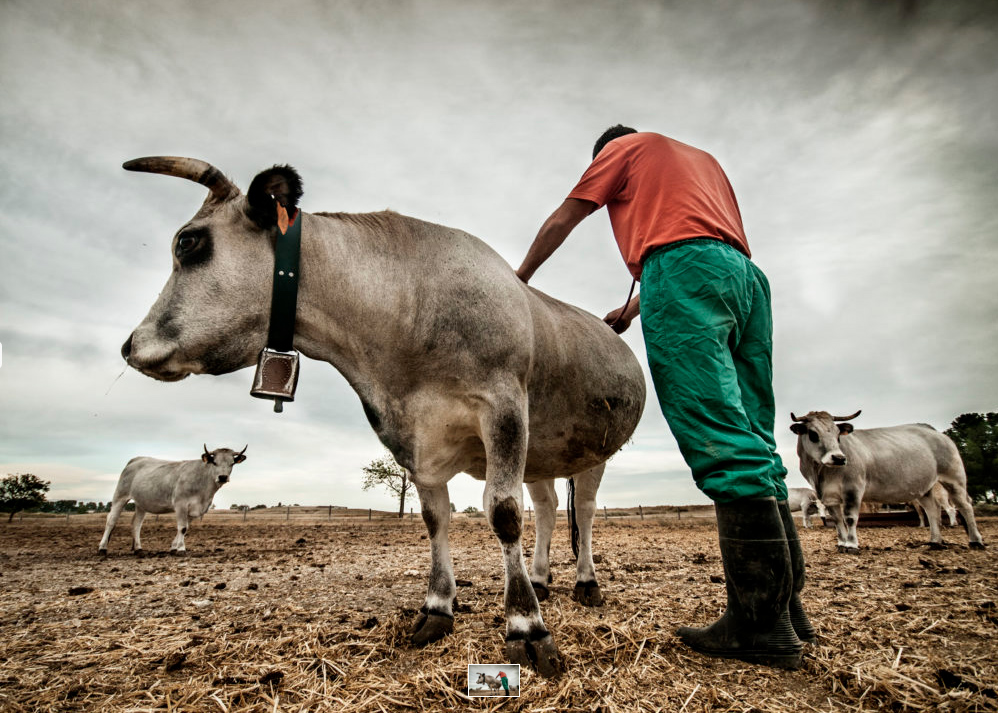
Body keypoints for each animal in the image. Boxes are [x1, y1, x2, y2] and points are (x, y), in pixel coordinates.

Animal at [98, 444, 247, 556]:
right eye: (215, 462)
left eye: (232, 463)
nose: (222, 477)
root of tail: (136, 459)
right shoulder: (181, 504)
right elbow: (182, 527)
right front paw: (181, 549)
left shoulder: (194, 509)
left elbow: (185, 528)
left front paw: (174, 547)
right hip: (120, 496)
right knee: (111, 520)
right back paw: (102, 548)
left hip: (141, 503)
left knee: (136, 524)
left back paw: (138, 549)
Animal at [117, 156, 648, 672]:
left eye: (188, 242)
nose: (128, 346)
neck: (409, 311)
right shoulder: (414, 437)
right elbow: (436, 519)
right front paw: (438, 607)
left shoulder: (504, 409)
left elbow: (503, 512)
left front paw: (526, 626)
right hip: (543, 452)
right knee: (549, 507)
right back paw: (539, 579)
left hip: (590, 451)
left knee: (583, 509)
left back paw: (585, 583)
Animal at [792, 408, 988, 552]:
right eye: (813, 434)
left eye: (838, 434)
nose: (839, 458)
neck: (821, 471)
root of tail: (936, 433)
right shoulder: (829, 496)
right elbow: (837, 520)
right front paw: (841, 543)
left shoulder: (853, 489)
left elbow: (849, 518)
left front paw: (852, 544)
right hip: (924, 488)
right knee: (932, 510)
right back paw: (935, 541)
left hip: (954, 478)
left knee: (965, 506)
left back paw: (975, 541)